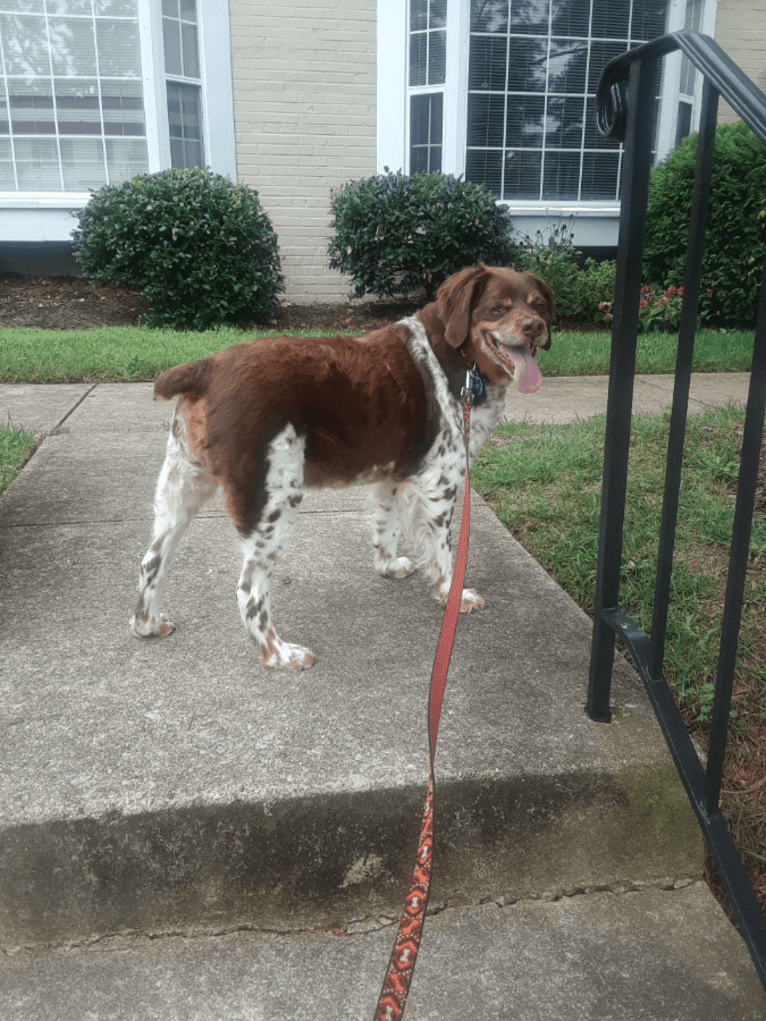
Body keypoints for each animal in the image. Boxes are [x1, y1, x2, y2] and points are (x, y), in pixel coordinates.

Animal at [130, 263, 551, 669]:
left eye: (538, 306)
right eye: (497, 308)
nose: (535, 327)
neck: (461, 360)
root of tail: (206, 367)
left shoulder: (392, 475)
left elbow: (386, 526)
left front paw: (388, 566)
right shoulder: (441, 481)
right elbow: (446, 552)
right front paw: (454, 595)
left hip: (180, 491)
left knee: (151, 561)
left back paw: (147, 625)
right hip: (273, 502)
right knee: (248, 590)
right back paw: (279, 655)